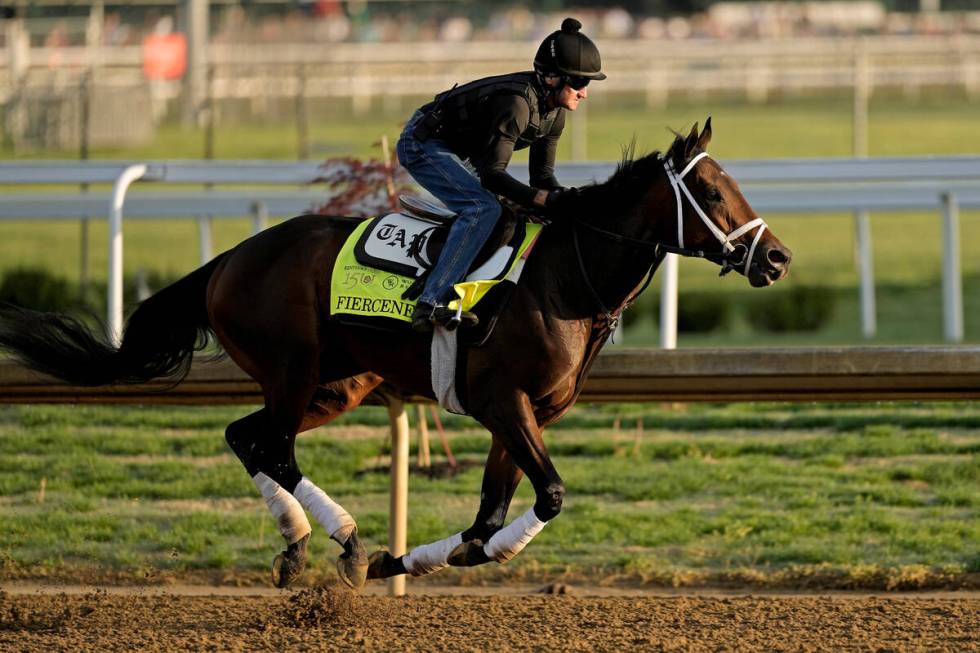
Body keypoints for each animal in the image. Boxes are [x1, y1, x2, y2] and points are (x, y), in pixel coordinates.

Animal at [0, 118, 792, 592]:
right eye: (712, 188)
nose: (777, 257)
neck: (562, 282)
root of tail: (228, 258)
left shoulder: (521, 415)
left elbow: (486, 517)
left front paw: (407, 559)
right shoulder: (505, 403)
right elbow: (547, 497)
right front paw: (397, 554)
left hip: (339, 382)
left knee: (247, 437)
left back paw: (300, 546)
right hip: (292, 368)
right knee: (274, 446)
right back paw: (342, 540)